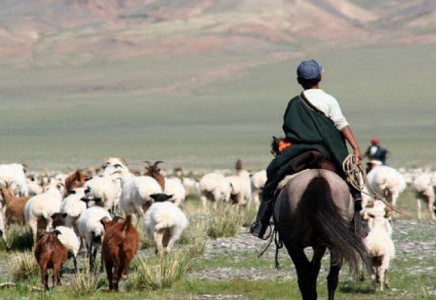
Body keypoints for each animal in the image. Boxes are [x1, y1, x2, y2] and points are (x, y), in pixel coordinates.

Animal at [274, 169, 366, 300]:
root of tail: (318, 177)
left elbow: (311, 270)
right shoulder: (320, 245)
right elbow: (315, 268)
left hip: (293, 243)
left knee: (305, 274)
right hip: (336, 243)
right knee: (332, 277)